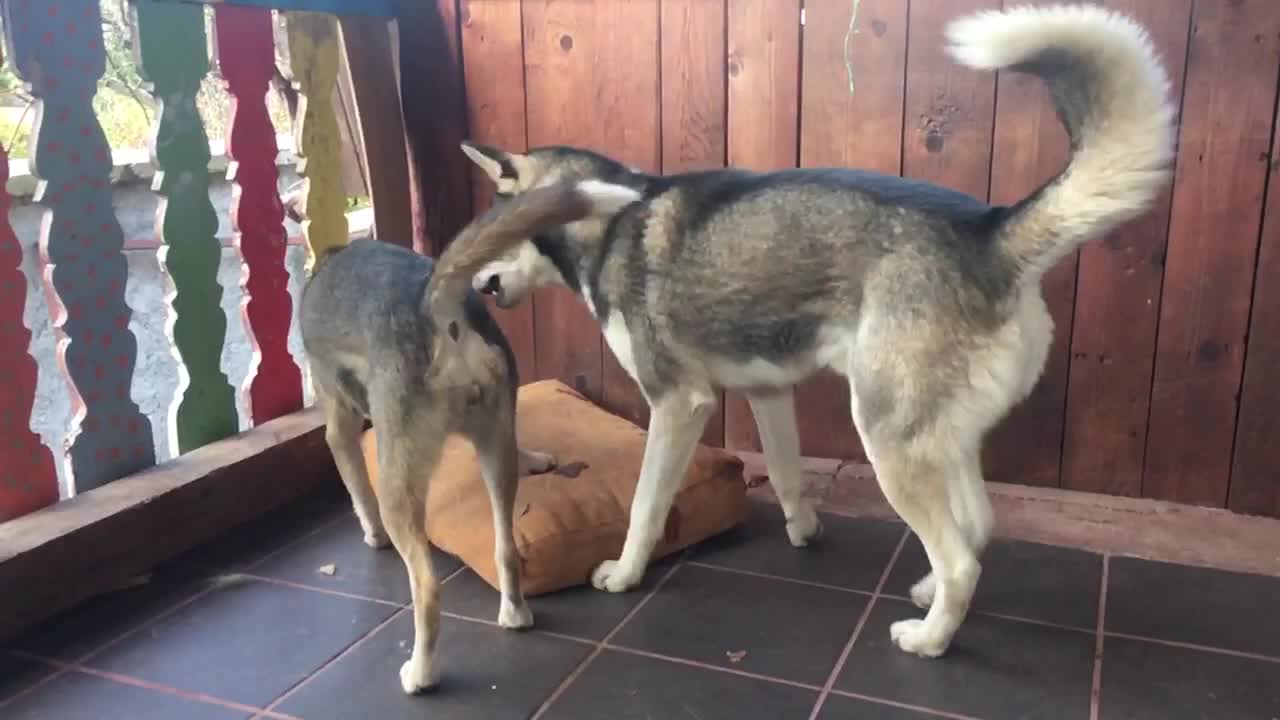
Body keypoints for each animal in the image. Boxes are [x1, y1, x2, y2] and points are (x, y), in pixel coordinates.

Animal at [300, 180, 640, 691]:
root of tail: (434, 305)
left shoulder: (339, 426)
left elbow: (357, 488)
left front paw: (371, 535)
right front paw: (535, 457)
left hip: (400, 488)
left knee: (426, 588)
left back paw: (420, 673)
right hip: (495, 453)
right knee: (507, 549)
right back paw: (514, 613)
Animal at [455, 5, 1172, 655]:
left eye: (492, 227)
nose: (473, 284)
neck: (603, 220)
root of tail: (989, 234)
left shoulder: (678, 405)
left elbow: (644, 505)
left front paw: (625, 574)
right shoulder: (768, 391)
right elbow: (786, 473)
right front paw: (803, 531)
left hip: (886, 438)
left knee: (962, 560)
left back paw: (929, 638)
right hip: (939, 436)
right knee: (977, 524)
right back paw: (927, 592)